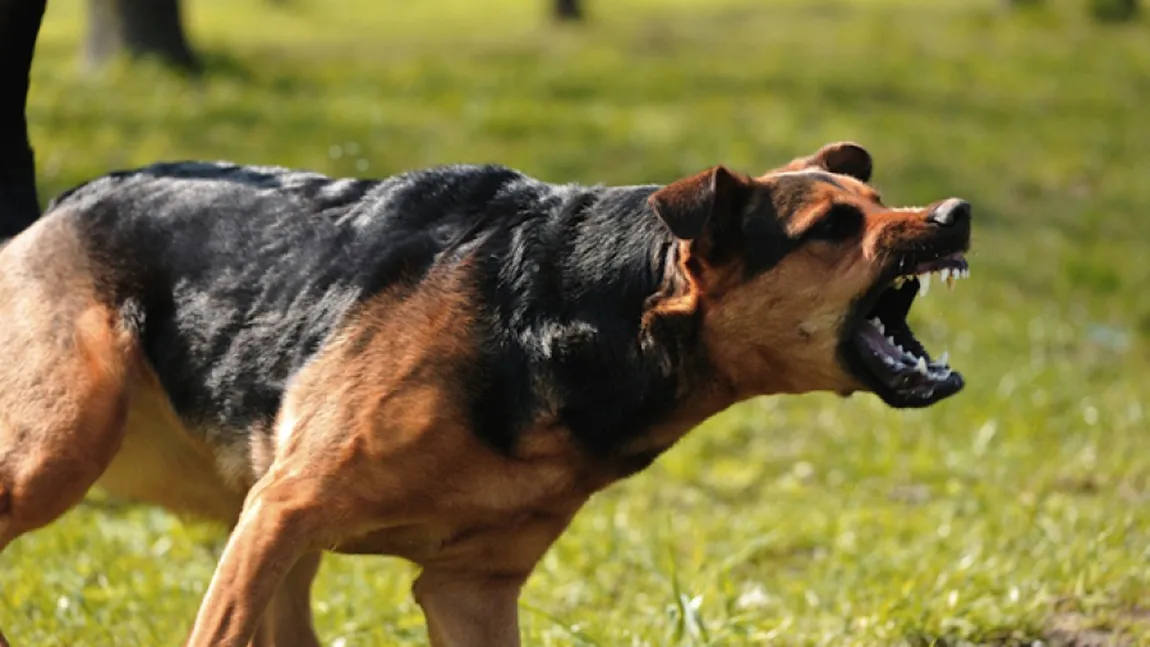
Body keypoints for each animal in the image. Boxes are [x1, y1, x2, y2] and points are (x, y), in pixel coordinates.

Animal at [0, 143, 970, 647]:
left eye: (878, 197)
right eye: (833, 227)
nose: (955, 214)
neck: (576, 309)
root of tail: (58, 204)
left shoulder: (470, 588)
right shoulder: (287, 509)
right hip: (63, 455)